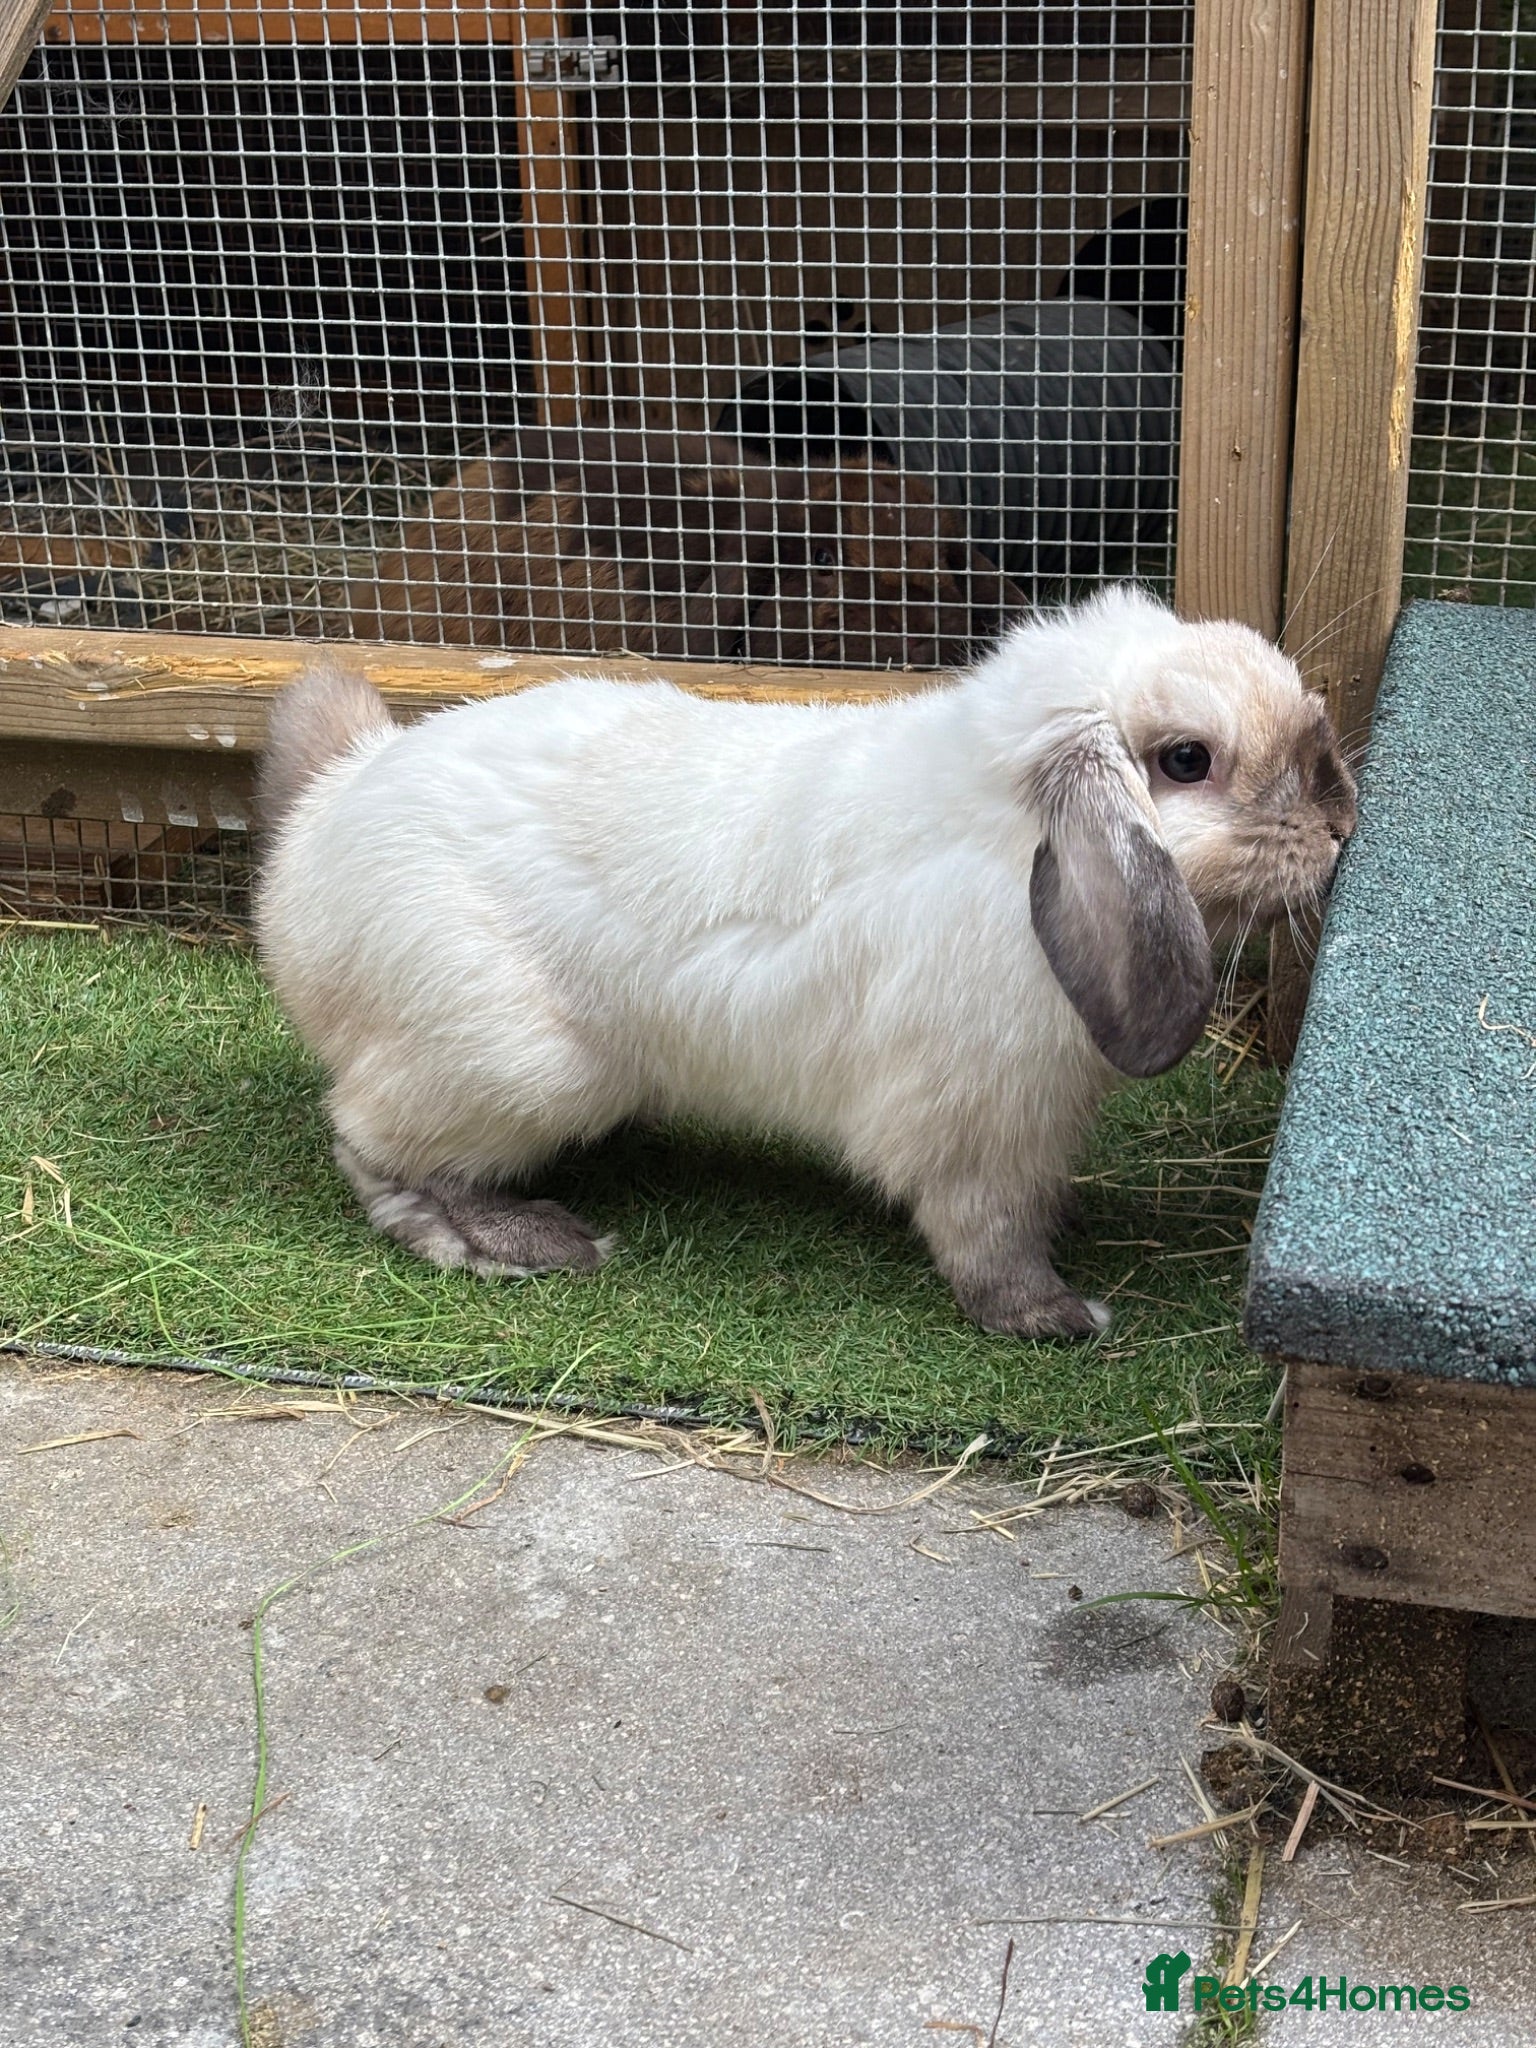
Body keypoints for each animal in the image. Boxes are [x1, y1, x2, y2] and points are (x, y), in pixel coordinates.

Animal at [255, 585, 1357, 1339]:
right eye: (1187, 760)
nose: (1343, 817)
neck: (1004, 840)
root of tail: (318, 831)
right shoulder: (975, 1127)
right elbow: (986, 1236)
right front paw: (1052, 1315)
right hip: (520, 1063)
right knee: (369, 1144)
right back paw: (517, 1240)